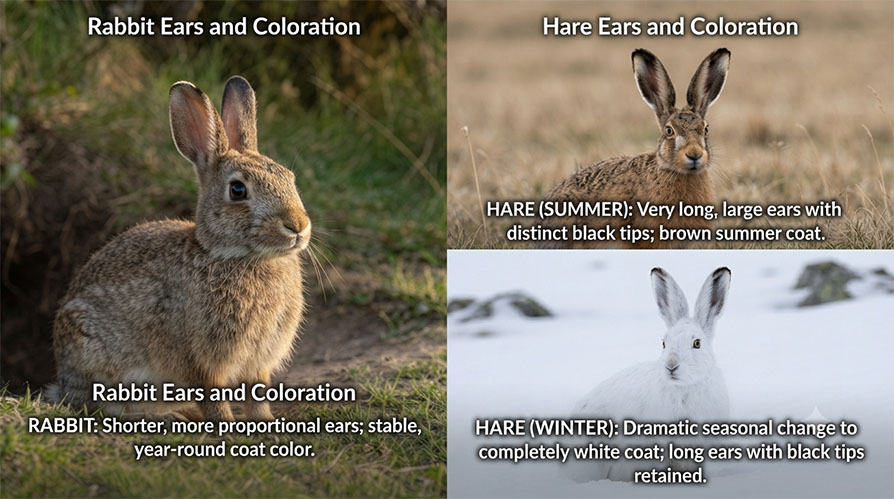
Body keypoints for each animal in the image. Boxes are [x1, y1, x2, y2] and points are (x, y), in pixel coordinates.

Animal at [44, 76, 311, 422]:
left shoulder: (258, 362)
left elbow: (258, 394)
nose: (298, 225)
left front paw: (265, 423)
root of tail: (63, 382)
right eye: (238, 190)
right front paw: (226, 425)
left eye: (289, 178)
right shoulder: (202, 363)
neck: (237, 256)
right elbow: (212, 397)